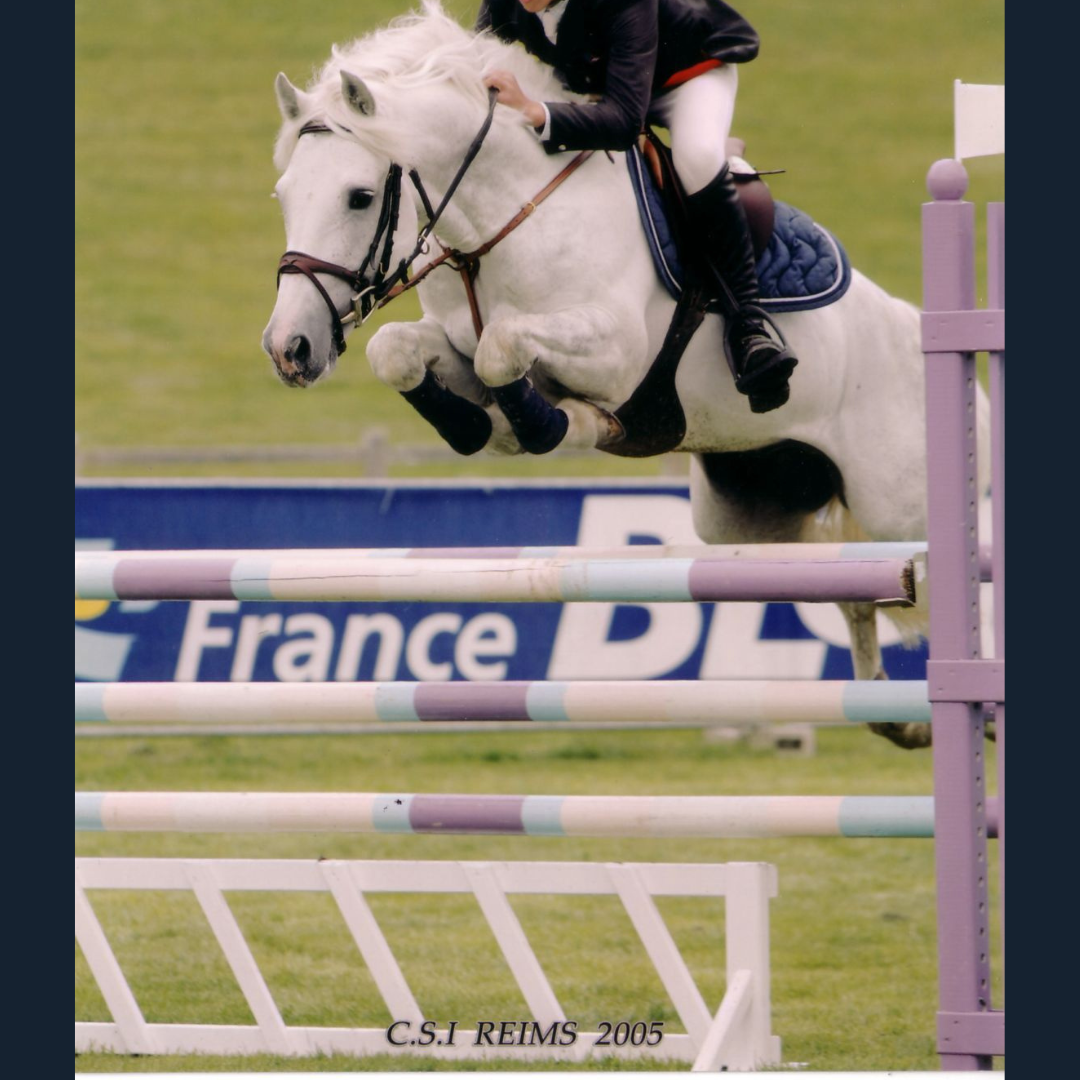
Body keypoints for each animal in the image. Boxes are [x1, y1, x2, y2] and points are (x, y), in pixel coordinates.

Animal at [261, 2, 991, 750]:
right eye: (284, 193)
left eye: (359, 196)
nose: (290, 349)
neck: (504, 216)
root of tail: (922, 328)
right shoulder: (454, 344)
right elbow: (400, 350)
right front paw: (475, 426)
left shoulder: (614, 351)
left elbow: (504, 348)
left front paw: (546, 424)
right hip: (748, 515)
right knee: (850, 585)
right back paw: (897, 717)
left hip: (900, 501)